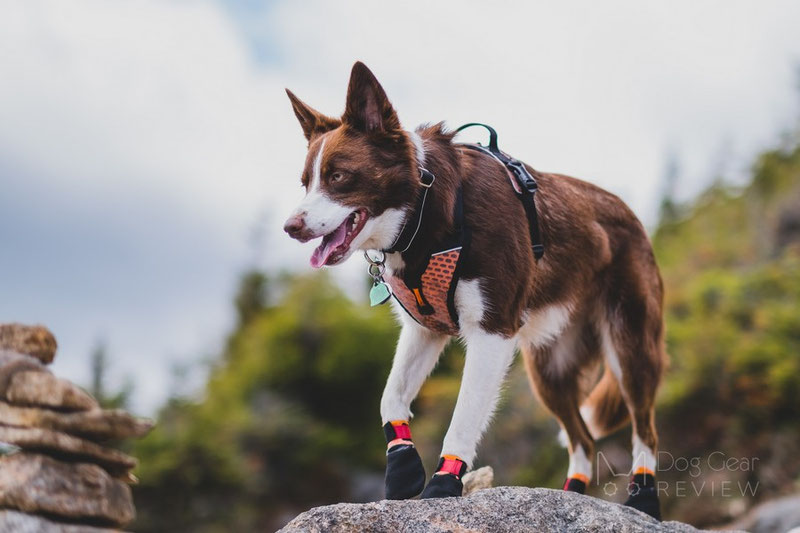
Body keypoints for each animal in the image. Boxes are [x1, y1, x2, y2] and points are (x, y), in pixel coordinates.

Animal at [284, 61, 664, 516]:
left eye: (339, 176)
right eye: (305, 183)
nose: (290, 227)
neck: (426, 212)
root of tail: (631, 215)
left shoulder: (492, 332)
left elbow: (463, 420)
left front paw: (443, 485)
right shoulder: (424, 330)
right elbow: (389, 397)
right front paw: (402, 468)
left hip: (630, 346)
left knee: (645, 428)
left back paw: (644, 497)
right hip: (549, 371)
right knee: (583, 441)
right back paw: (572, 495)